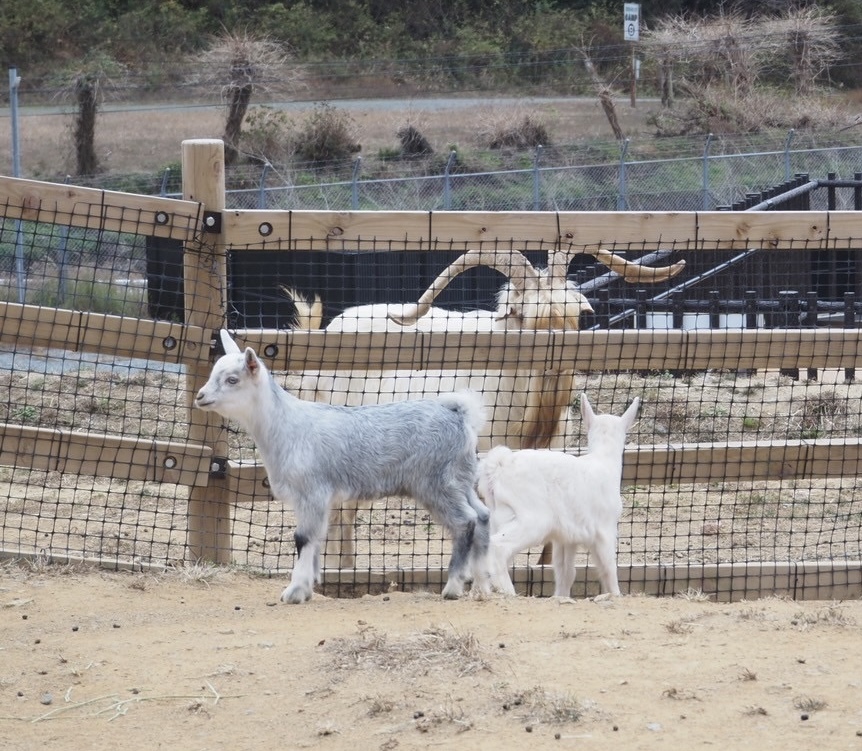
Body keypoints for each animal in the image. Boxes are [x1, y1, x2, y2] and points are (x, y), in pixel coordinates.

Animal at [197, 328, 492, 604]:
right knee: (483, 516)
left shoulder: (312, 491)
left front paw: (294, 591)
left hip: (437, 483)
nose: (200, 396)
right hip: (460, 480)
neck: (285, 425)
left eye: (232, 379)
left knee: (466, 522)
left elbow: (303, 537)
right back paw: (481, 585)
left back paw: (453, 587)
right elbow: (316, 539)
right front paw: (308, 588)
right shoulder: (315, 498)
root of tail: (460, 414)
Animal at [480, 394, 640, 600]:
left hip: (498, 518)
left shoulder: (566, 538)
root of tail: (498, 467)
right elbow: (608, 568)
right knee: (499, 547)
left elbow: (566, 572)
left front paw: (561, 596)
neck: (603, 461)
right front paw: (615, 595)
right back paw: (508, 591)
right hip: (533, 519)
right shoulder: (605, 530)